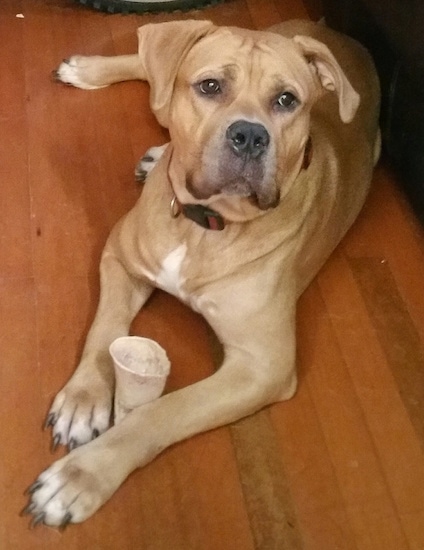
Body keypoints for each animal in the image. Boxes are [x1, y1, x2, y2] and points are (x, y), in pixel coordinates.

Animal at [23, 18, 380, 532]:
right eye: (210, 87)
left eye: (287, 100)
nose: (249, 135)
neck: (205, 225)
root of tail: (330, 29)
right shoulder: (119, 257)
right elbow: (102, 331)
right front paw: (83, 399)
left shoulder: (262, 367)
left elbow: (162, 412)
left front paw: (81, 476)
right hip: (162, 89)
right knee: (150, 73)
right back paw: (89, 72)